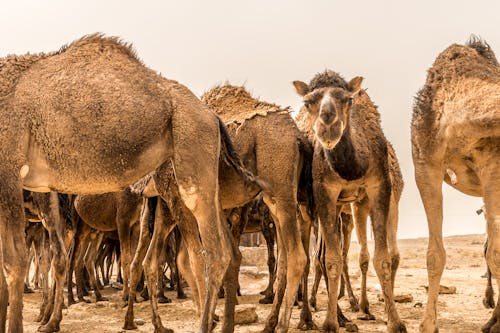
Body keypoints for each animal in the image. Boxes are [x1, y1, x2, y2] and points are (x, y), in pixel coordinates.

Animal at [0, 34, 252, 332]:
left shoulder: (9, 169)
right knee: (225, 249)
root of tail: (213, 117)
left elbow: (13, 263)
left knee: (214, 252)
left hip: (191, 146)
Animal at [292, 68, 406, 330]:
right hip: (305, 209)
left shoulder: (379, 188)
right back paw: (307, 317)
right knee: (309, 258)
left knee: (321, 256)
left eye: (348, 100)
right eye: (308, 102)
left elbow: (382, 258)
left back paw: (343, 314)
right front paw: (329, 323)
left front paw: (395, 322)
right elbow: (332, 260)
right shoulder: (324, 192)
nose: (328, 126)